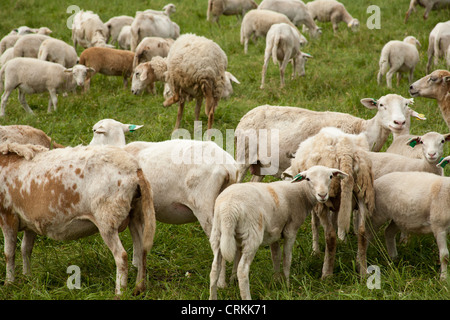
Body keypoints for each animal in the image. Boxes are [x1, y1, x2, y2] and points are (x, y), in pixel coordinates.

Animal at [0, 141, 156, 296]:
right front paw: (28, 278)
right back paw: (139, 288)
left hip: (107, 218)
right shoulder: (30, 221)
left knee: (121, 256)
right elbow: (26, 249)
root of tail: (134, 169)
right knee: (142, 250)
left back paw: (119, 293)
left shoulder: (7, 215)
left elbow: (9, 253)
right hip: (135, 212)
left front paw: (9, 283)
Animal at [209, 165, 346, 300]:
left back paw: (213, 296)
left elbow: (276, 255)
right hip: (251, 234)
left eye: (330, 176)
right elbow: (287, 257)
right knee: (242, 270)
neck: (302, 193)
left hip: (217, 233)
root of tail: (229, 208)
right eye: (308, 179)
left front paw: (275, 280)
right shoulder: (291, 230)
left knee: (214, 269)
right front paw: (287, 284)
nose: (322, 195)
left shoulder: (273, 232)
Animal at [236, 94, 418, 181]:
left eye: (406, 105)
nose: (399, 122)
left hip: (261, 164)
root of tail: (247, 114)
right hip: (244, 156)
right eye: (381, 105)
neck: (363, 130)